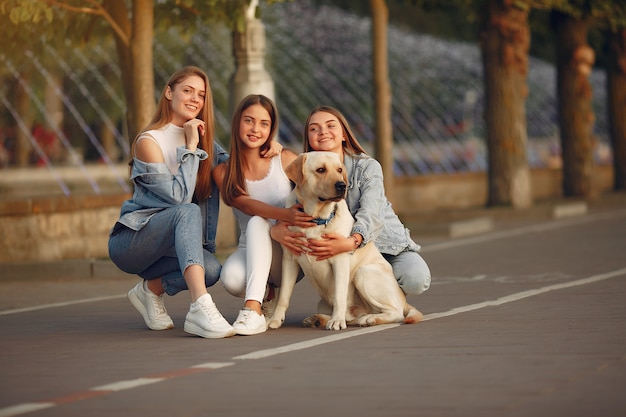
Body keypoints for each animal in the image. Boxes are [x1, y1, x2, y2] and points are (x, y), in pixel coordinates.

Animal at [266, 151, 422, 330]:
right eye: (320, 170)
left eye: (339, 170)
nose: (342, 185)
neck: (316, 218)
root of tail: (404, 300)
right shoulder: (290, 259)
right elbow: (284, 295)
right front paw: (275, 319)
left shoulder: (339, 261)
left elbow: (340, 294)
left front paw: (337, 321)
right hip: (324, 301)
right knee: (351, 316)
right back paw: (319, 319)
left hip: (363, 273)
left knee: (395, 313)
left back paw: (369, 318)